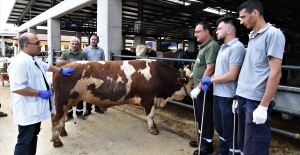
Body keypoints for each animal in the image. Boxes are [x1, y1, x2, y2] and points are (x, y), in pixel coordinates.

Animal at [49, 58, 191, 147]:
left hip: (65, 102)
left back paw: (63, 133)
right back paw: (57, 142)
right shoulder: (149, 99)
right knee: (56, 119)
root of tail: (64, 64)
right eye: (189, 82)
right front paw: (153, 129)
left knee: (61, 118)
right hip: (62, 101)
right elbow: (150, 115)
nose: (190, 96)